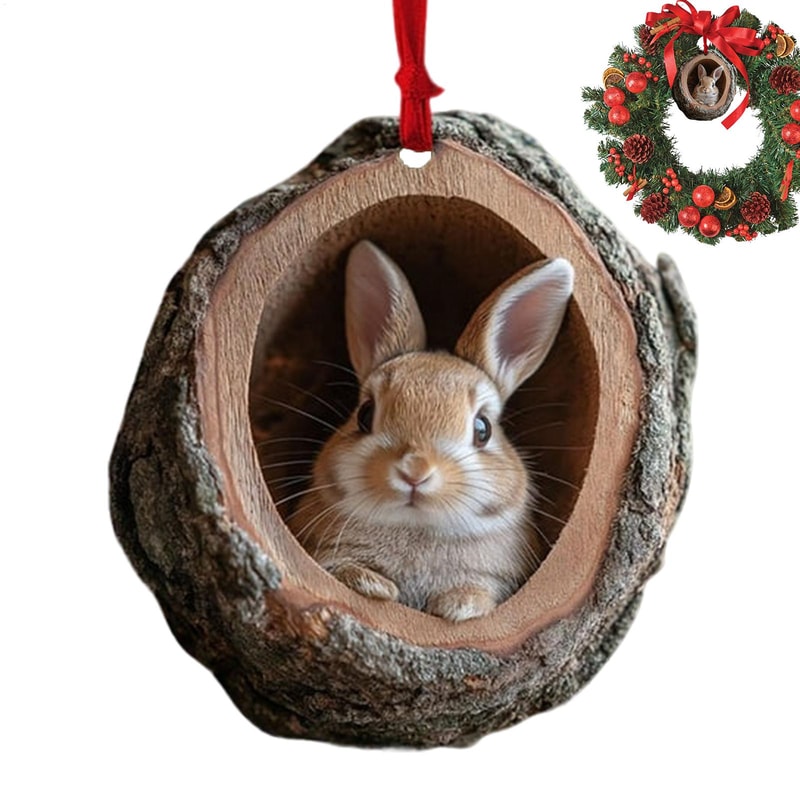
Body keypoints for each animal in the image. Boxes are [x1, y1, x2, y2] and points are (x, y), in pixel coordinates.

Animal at [291, 240, 574, 622]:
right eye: (365, 414)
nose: (415, 471)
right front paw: (374, 585)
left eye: (483, 429)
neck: (417, 527)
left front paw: (459, 605)